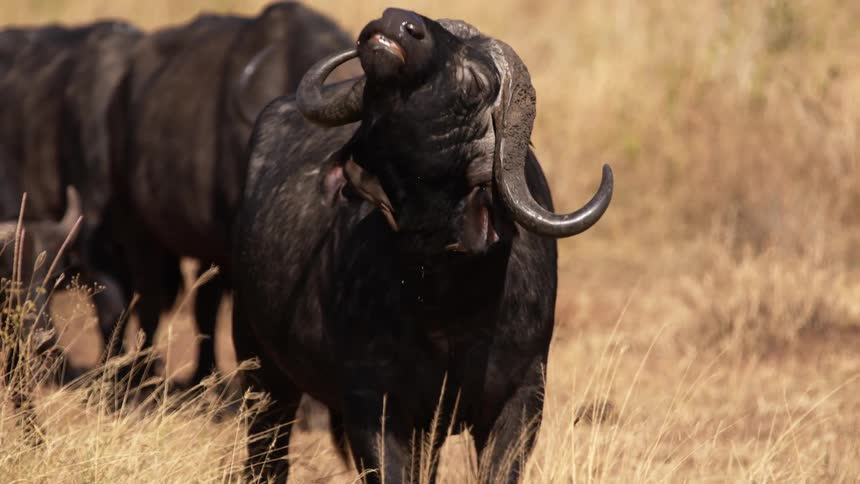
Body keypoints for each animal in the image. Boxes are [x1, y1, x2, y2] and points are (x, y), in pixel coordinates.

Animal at [232, 8, 613, 484]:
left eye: (475, 81)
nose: (398, 21)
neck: (444, 296)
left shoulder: (522, 398)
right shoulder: (372, 403)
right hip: (259, 366)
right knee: (266, 456)